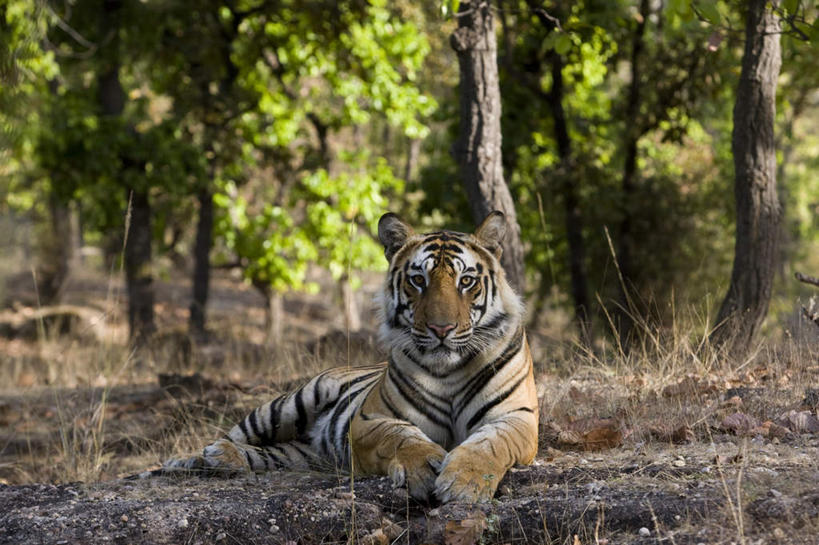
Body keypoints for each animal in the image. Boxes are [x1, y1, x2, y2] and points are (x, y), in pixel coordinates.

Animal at [150, 210, 540, 504]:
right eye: (418, 280)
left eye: (466, 281)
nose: (441, 329)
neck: (449, 370)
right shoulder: (370, 419)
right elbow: (402, 437)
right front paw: (425, 467)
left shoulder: (516, 417)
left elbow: (489, 445)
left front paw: (463, 483)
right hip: (286, 405)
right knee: (233, 436)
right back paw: (194, 458)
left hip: (303, 451)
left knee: (273, 453)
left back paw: (223, 460)